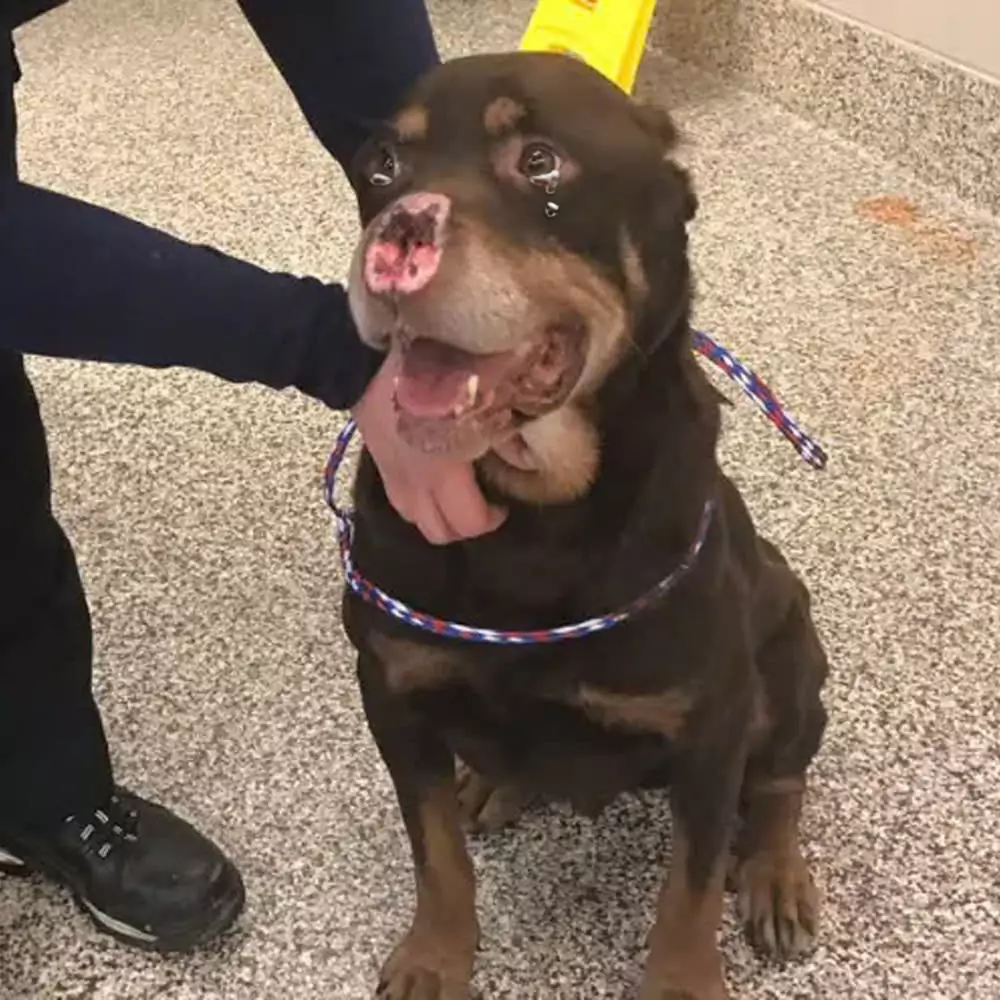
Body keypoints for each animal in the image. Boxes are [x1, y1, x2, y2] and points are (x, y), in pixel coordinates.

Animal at [342, 52, 828, 1000]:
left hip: (792, 652)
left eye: (540, 163)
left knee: (783, 776)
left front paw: (683, 981)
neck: (535, 522)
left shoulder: (712, 723)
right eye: (381, 164)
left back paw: (777, 873)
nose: (400, 229)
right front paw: (435, 956)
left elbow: (690, 890)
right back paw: (492, 783)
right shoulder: (391, 687)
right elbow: (435, 855)